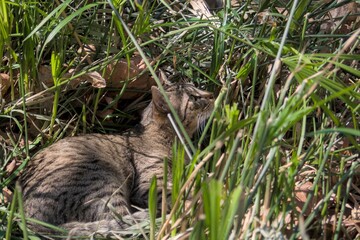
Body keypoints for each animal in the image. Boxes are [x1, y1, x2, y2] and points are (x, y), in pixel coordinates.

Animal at [19, 74, 214, 239]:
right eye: (194, 98)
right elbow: (179, 195)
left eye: (196, 87)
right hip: (103, 182)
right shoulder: (148, 185)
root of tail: (30, 219)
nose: (212, 94)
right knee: (120, 224)